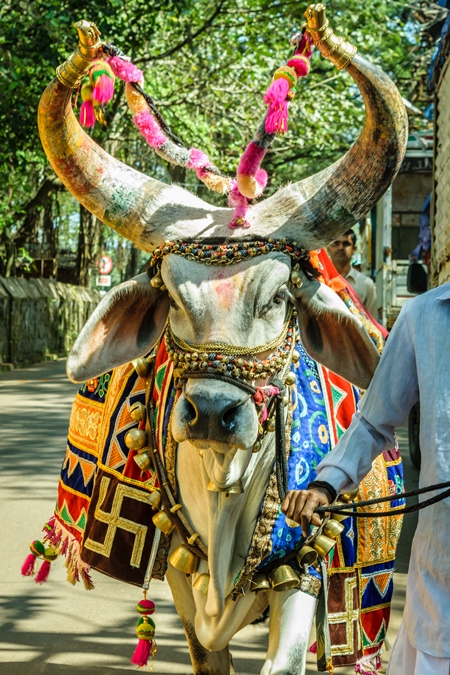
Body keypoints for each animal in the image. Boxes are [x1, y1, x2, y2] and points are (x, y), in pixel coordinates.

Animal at [26, 5, 410, 675]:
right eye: (174, 299)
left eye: (280, 297)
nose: (211, 412)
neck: (224, 492)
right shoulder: (187, 587)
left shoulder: (302, 571)